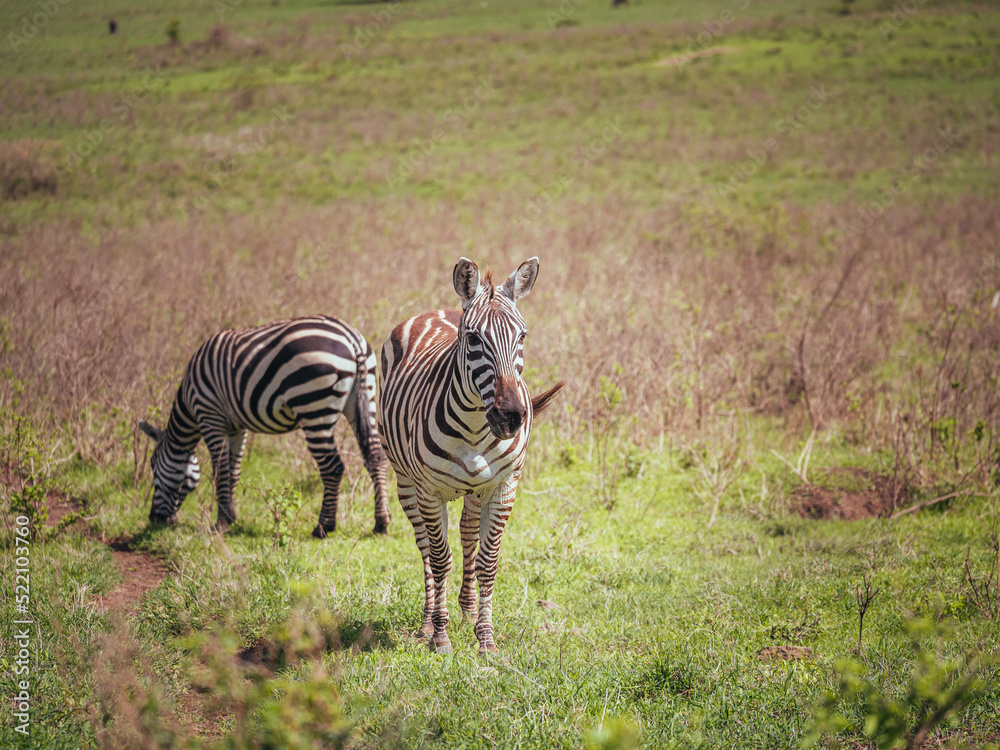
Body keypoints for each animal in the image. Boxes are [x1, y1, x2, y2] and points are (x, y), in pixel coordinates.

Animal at [138, 316, 391, 537]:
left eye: (152, 465)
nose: (154, 519)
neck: (189, 403)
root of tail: (352, 339)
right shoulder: (237, 427)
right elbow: (234, 472)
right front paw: (231, 517)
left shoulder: (210, 416)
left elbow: (220, 471)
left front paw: (221, 523)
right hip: (366, 396)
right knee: (376, 456)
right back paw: (381, 522)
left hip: (312, 405)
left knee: (333, 467)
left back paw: (323, 527)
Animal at [377, 257, 564, 653]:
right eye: (475, 338)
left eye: (523, 336)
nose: (511, 417)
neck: (477, 428)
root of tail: (438, 310)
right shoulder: (430, 491)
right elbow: (440, 559)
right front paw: (441, 636)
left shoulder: (503, 487)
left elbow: (487, 562)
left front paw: (486, 638)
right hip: (406, 482)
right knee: (425, 548)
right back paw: (427, 623)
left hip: (474, 490)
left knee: (466, 534)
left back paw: (468, 609)